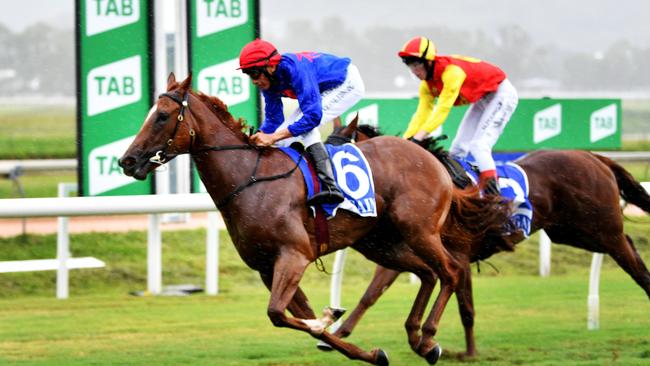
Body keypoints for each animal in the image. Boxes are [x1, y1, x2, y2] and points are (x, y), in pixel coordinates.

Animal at [119, 74, 508, 366]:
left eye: (162, 116)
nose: (127, 160)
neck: (251, 179)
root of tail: (429, 157)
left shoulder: (294, 255)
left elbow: (277, 313)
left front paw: (328, 320)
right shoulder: (266, 267)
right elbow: (301, 318)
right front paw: (357, 342)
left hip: (418, 230)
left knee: (450, 271)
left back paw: (427, 338)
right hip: (381, 243)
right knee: (427, 273)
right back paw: (414, 335)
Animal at [322, 119, 648, 358]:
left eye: (344, 159)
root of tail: (593, 156)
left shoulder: (456, 253)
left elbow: (465, 307)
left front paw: (466, 351)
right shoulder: (407, 247)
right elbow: (372, 293)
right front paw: (336, 334)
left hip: (601, 229)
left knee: (631, 259)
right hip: (571, 232)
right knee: (630, 246)